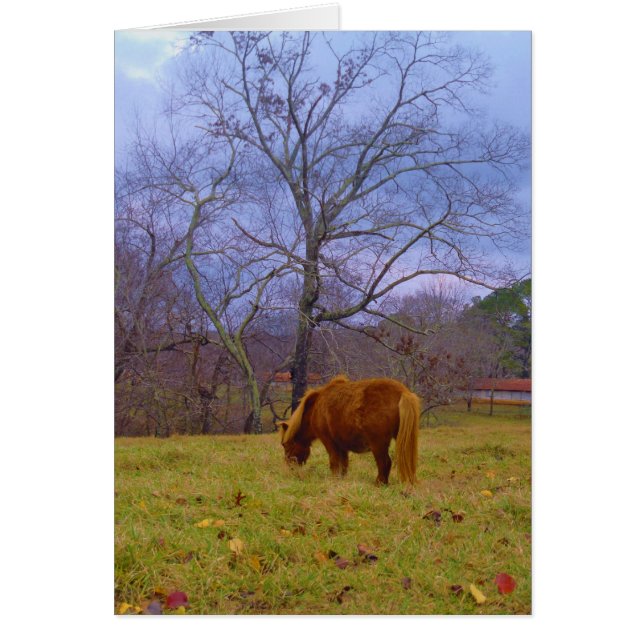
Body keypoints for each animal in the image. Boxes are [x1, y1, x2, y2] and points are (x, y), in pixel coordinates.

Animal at [277, 375, 420, 485]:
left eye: (285, 445)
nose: (290, 468)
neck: (315, 408)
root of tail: (403, 392)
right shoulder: (342, 445)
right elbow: (344, 465)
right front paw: (341, 479)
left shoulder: (329, 442)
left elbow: (334, 462)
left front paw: (334, 480)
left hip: (378, 444)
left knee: (384, 462)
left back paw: (379, 484)